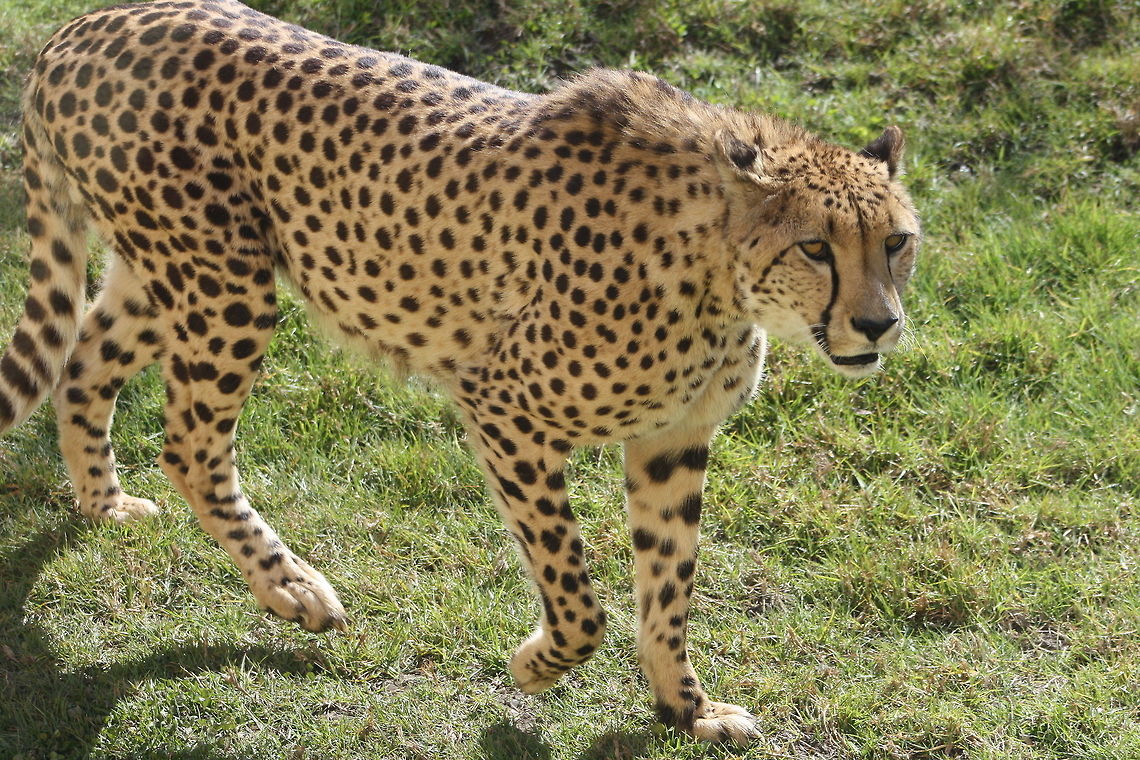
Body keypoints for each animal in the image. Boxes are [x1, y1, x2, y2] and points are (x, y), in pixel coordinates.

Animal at [1, 0, 920, 744]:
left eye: (897, 241)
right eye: (815, 247)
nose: (879, 324)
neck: (718, 267)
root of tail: (82, 28)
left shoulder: (672, 440)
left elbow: (669, 589)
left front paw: (685, 710)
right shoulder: (503, 407)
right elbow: (579, 594)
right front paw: (536, 665)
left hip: (170, 276)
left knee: (81, 361)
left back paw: (106, 504)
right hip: (227, 284)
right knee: (190, 444)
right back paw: (292, 587)